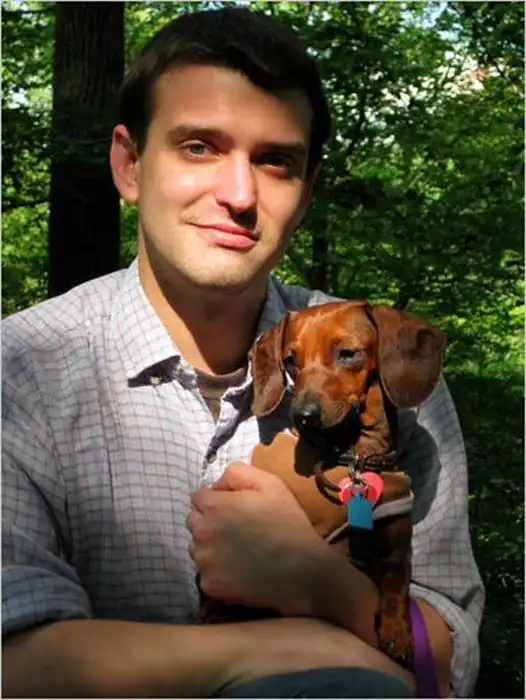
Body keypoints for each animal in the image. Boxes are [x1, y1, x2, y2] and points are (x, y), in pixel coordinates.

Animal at [197, 300, 446, 671]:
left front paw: (398, 631)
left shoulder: (396, 550)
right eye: (290, 360)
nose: (304, 415)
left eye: (347, 353)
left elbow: (397, 586)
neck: (354, 457)